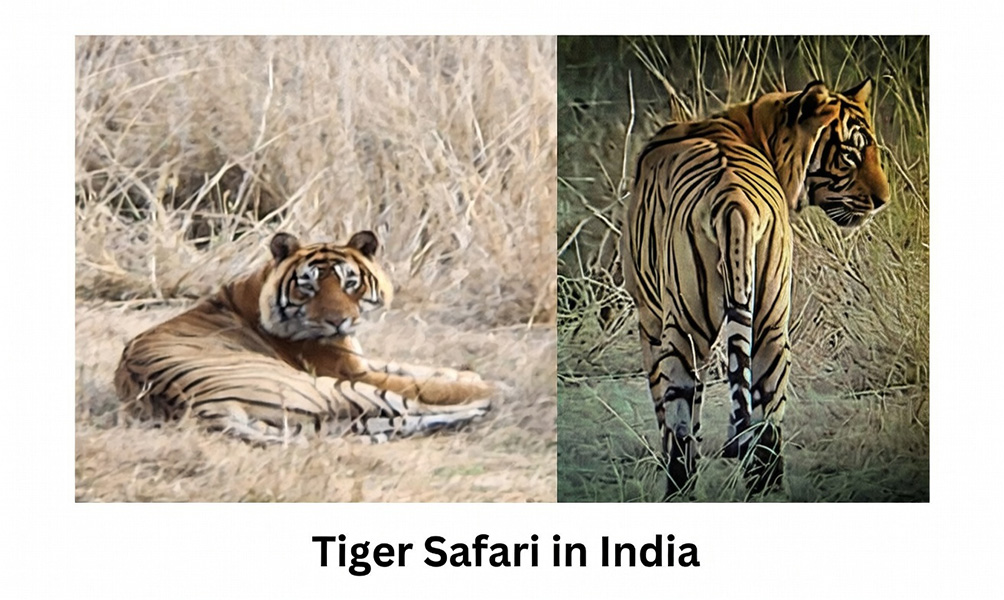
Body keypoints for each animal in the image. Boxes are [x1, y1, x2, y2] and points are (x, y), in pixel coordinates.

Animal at [115, 230, 494, 444]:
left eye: (350, 282)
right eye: (308, 286)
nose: (339, 322)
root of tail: (205, 410)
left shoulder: (361, 358)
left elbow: (418, 368)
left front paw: (466, 375)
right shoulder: (350, 370)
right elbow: (421, 384)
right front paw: (481, 385)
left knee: (392, 420)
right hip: (329, 388)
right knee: (405, 408)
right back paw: (481, 406)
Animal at [621, 79, 890, 498]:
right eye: (849, 155)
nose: (883, 201)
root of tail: (734, 200)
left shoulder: (649, 318)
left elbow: (671, 411)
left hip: (684, 329)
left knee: (680, 421)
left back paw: (680, 490)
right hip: (771, 326)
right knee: (766, 422)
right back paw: (767, 489)